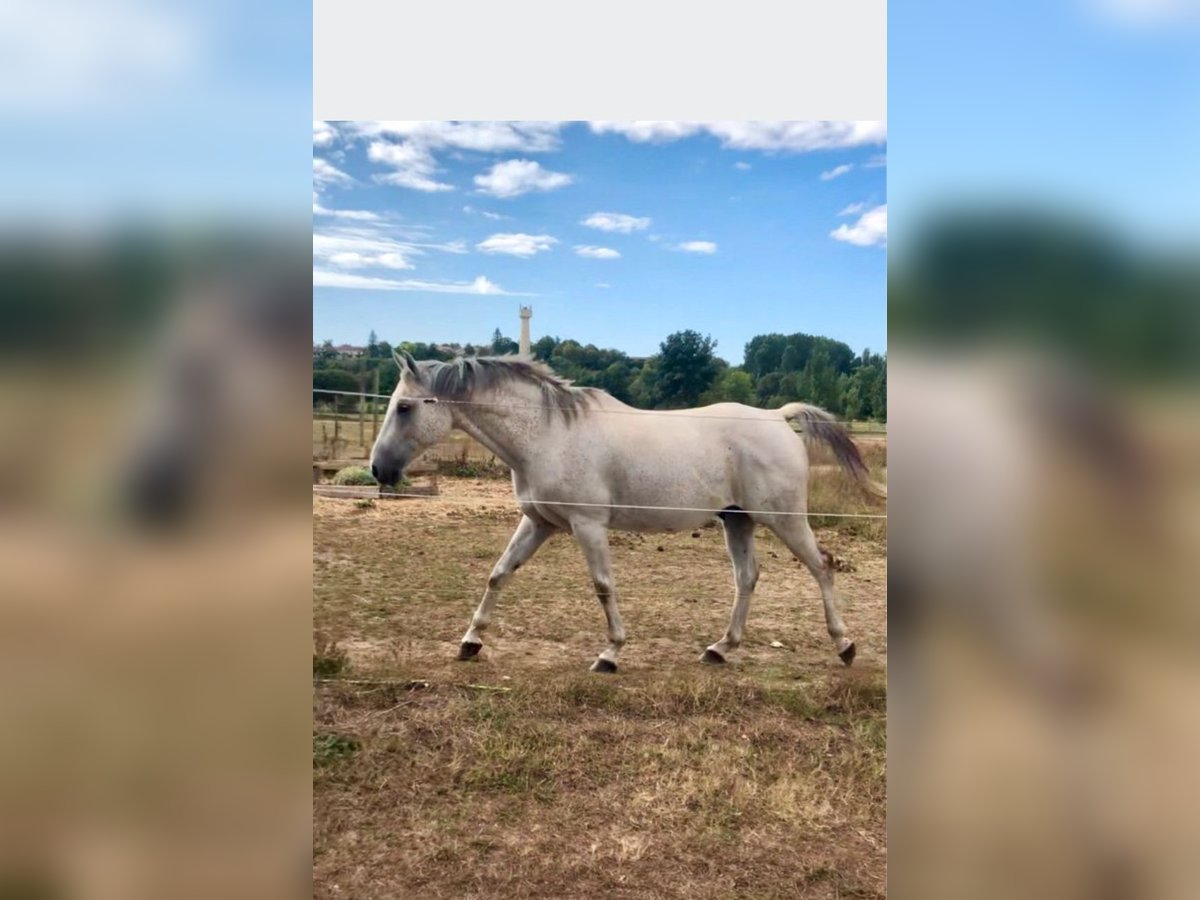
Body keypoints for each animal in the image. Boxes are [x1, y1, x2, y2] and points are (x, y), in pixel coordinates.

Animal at [369, 355, 888, 672]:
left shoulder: (588, 526)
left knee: (822, 566)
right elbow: (499, 574)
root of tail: (778, 416)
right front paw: (470, 642)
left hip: (784, 519)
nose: (378, 469)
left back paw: (845, 646)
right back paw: (720, 648)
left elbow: (603, 586)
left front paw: (610, 653)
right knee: (747, 578)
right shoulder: (539, 523)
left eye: (405, 407)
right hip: (737, 520)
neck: (549, 434)